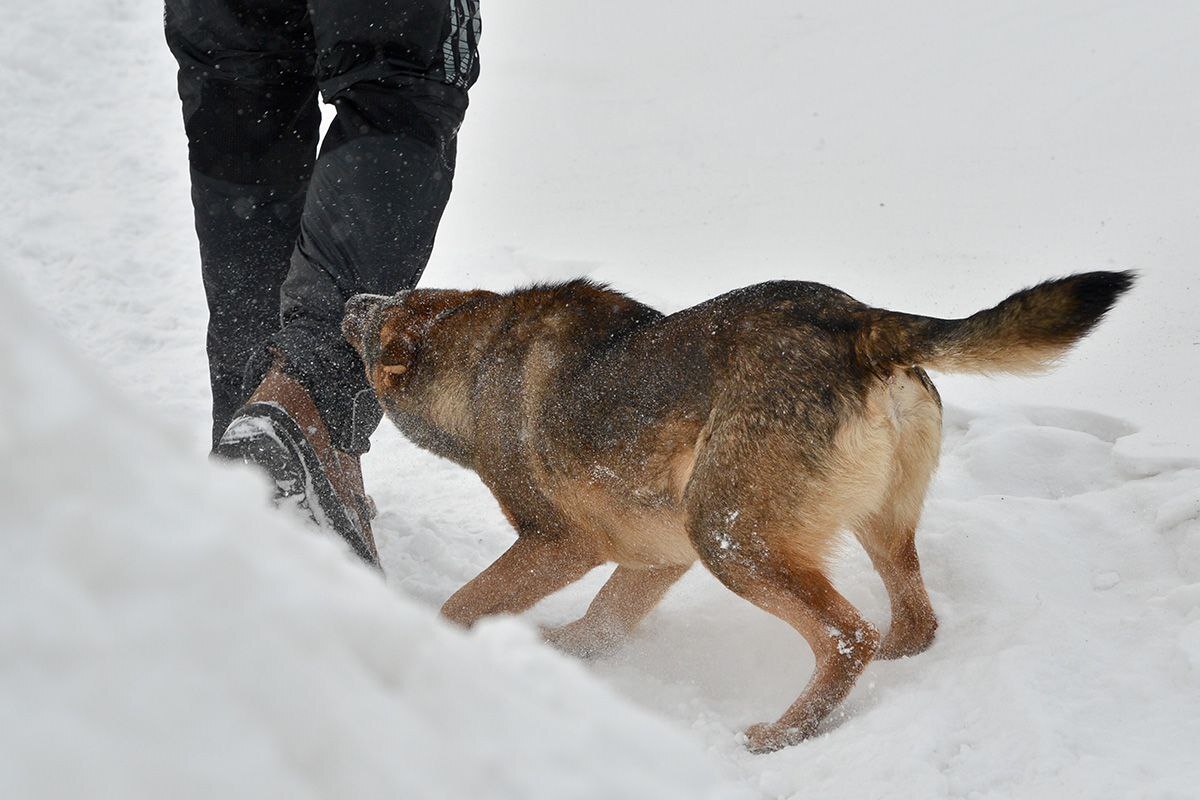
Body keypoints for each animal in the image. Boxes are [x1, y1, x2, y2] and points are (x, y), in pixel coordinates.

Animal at [340, 268, 1132, 753]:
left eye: (373, 326)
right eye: (394, 293)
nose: (348, 300)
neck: (475, 359)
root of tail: (857, 321)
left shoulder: (561, 542)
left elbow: (463, 604)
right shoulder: (656, 556)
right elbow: (600, 624)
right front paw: (554, 654)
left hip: (729, 539)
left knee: (849, 636)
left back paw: (782, 736)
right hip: (864, 528)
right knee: (910, 622)